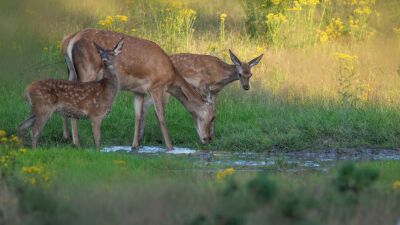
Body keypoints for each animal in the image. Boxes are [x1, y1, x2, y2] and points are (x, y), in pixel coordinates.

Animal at [59, 28, 214, 151]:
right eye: (213, 117)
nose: (208, 138)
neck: (171, 77)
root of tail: (70, 40)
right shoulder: (157, 86)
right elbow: (161, 116)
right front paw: (170, 147)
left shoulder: (138, 91)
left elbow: (138, 115)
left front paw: (135, 146)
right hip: (87, 70)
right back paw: (76, 142)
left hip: (71, 72)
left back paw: (66, 137)